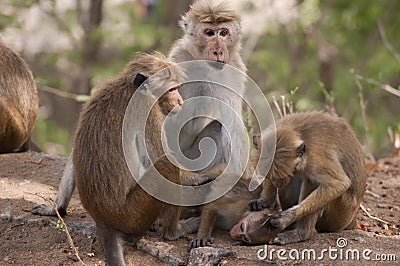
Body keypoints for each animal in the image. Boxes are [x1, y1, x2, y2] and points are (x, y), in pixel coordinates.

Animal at [33, 0, 250, 216]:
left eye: (223, 32)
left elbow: (233, 122)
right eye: (209, 33)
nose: (218, 51)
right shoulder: (177, 60)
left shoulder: (234, 67)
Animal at [242, 111, 368, 244]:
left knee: (311, 181)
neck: (294, 130)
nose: (278, 184)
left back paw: (302, 233)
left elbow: (339, 184)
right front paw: (266, 200)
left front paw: (287, 217)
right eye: (271, 177)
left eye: (283, 177)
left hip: (341, 212)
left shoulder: (315, 158)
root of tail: (352, 219)